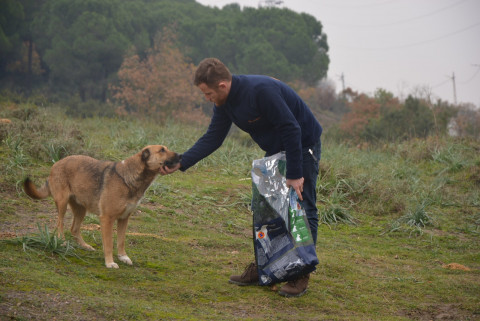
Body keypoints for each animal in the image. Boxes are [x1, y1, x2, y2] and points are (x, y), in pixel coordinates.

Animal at [23, 145, 180, 268]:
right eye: (162, 150)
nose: (180, 156)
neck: (131, 177)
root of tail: (56, 163)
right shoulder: (107, 219)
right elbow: (109, 244)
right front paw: (110, 262)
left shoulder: (124, 219)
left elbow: (121, 241)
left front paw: (123, 257)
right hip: (62, 204)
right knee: (59, 224)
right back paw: (61, 242)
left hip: (81, 209)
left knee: (74, 229)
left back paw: (85, 246)